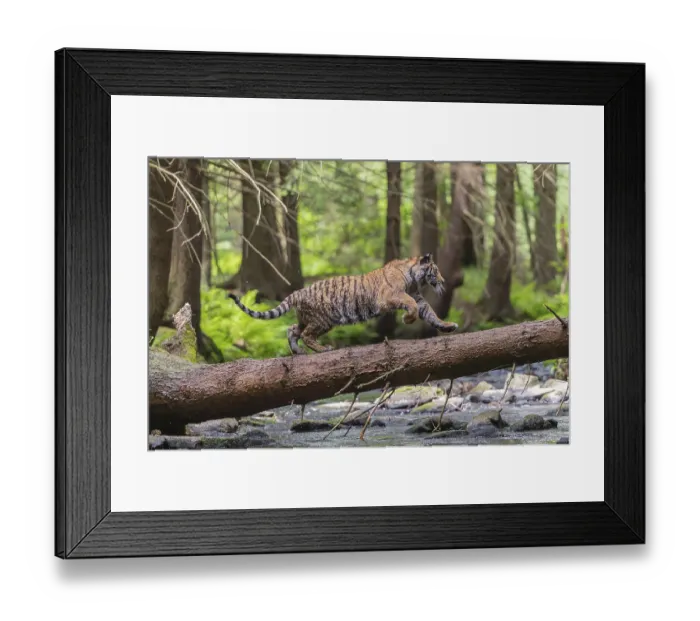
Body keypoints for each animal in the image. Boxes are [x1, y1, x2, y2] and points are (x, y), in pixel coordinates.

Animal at [228, 253, 458, 354]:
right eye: (435, 271)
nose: (444, 281)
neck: (414, 279)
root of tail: (299, 292)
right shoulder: (390, 296)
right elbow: (411, 304)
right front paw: (408, 318)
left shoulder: (418, 298)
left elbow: (431, 314)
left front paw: (448, 326)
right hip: (323, 320)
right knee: (305, 335)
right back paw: (324, 349)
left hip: (308, 319)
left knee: (292, 329)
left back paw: (297, 352)